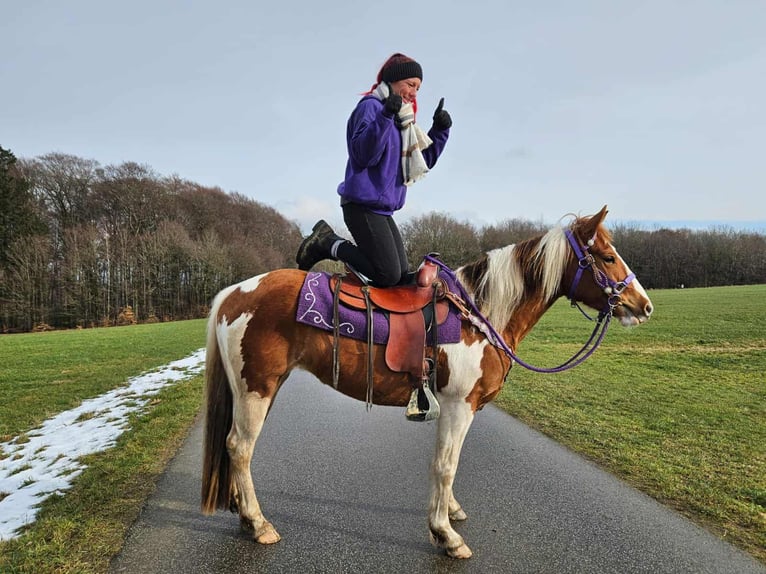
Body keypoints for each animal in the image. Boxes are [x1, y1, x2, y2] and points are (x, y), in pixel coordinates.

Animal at [200, 205, 653, 559]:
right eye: (607, 257)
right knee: (239, 448)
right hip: (257, 388)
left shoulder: (452, 407)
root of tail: (234, 292)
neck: (481, 313)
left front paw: (450, 512)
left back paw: (242, 513)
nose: (644, 306)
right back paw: (258, 523)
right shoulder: (458, 405)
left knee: (235, 448)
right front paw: (445, 535)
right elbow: (445, 465)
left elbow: (446, 462)